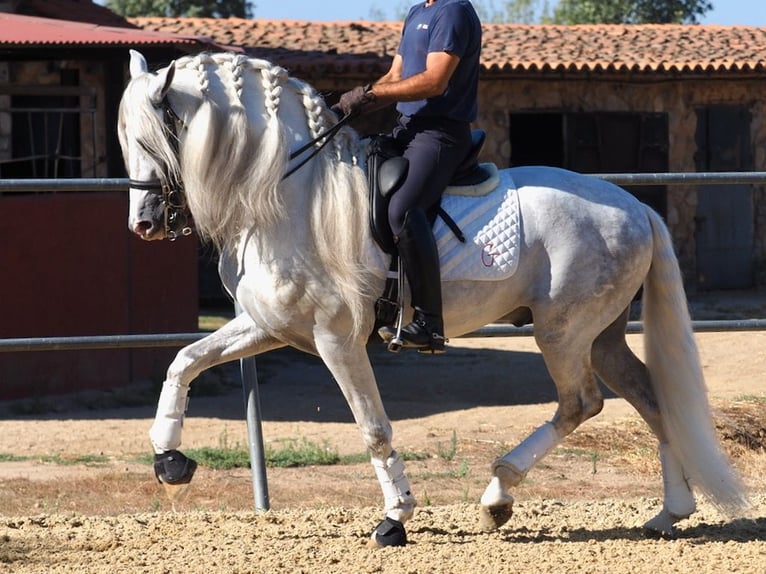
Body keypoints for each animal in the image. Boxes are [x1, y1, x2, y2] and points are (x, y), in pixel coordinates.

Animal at [120, 50, 752, 548]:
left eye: (155, 134)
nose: (145, 224)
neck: (289, 195)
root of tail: (637, 206)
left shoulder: (336, 338)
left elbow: (374, 427)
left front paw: (395, 518)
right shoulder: (267, 325)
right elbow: (184, 361)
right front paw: (168, 460)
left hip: (562, 331)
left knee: (581, 404)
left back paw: (498, 495)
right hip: (601, 334)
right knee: (650, 397)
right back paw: (669, 513)